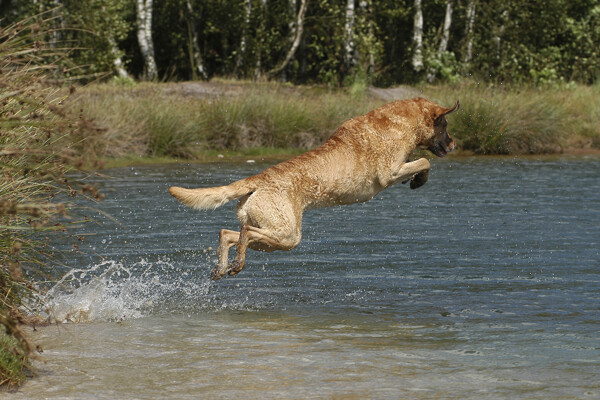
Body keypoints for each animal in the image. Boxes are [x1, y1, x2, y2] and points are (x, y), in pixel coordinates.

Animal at [169, 97, 460, 280]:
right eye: (445, 125)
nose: (454, 144)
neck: (400, 123)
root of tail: (258, 179)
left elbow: (421, 162)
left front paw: (417, 179)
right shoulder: (390, 172)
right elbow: (424, 161)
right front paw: (419, 179)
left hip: (270, 232)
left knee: (228, 233)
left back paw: (222, 268)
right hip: (287, 233)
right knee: (244, 233)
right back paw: (237, 264)